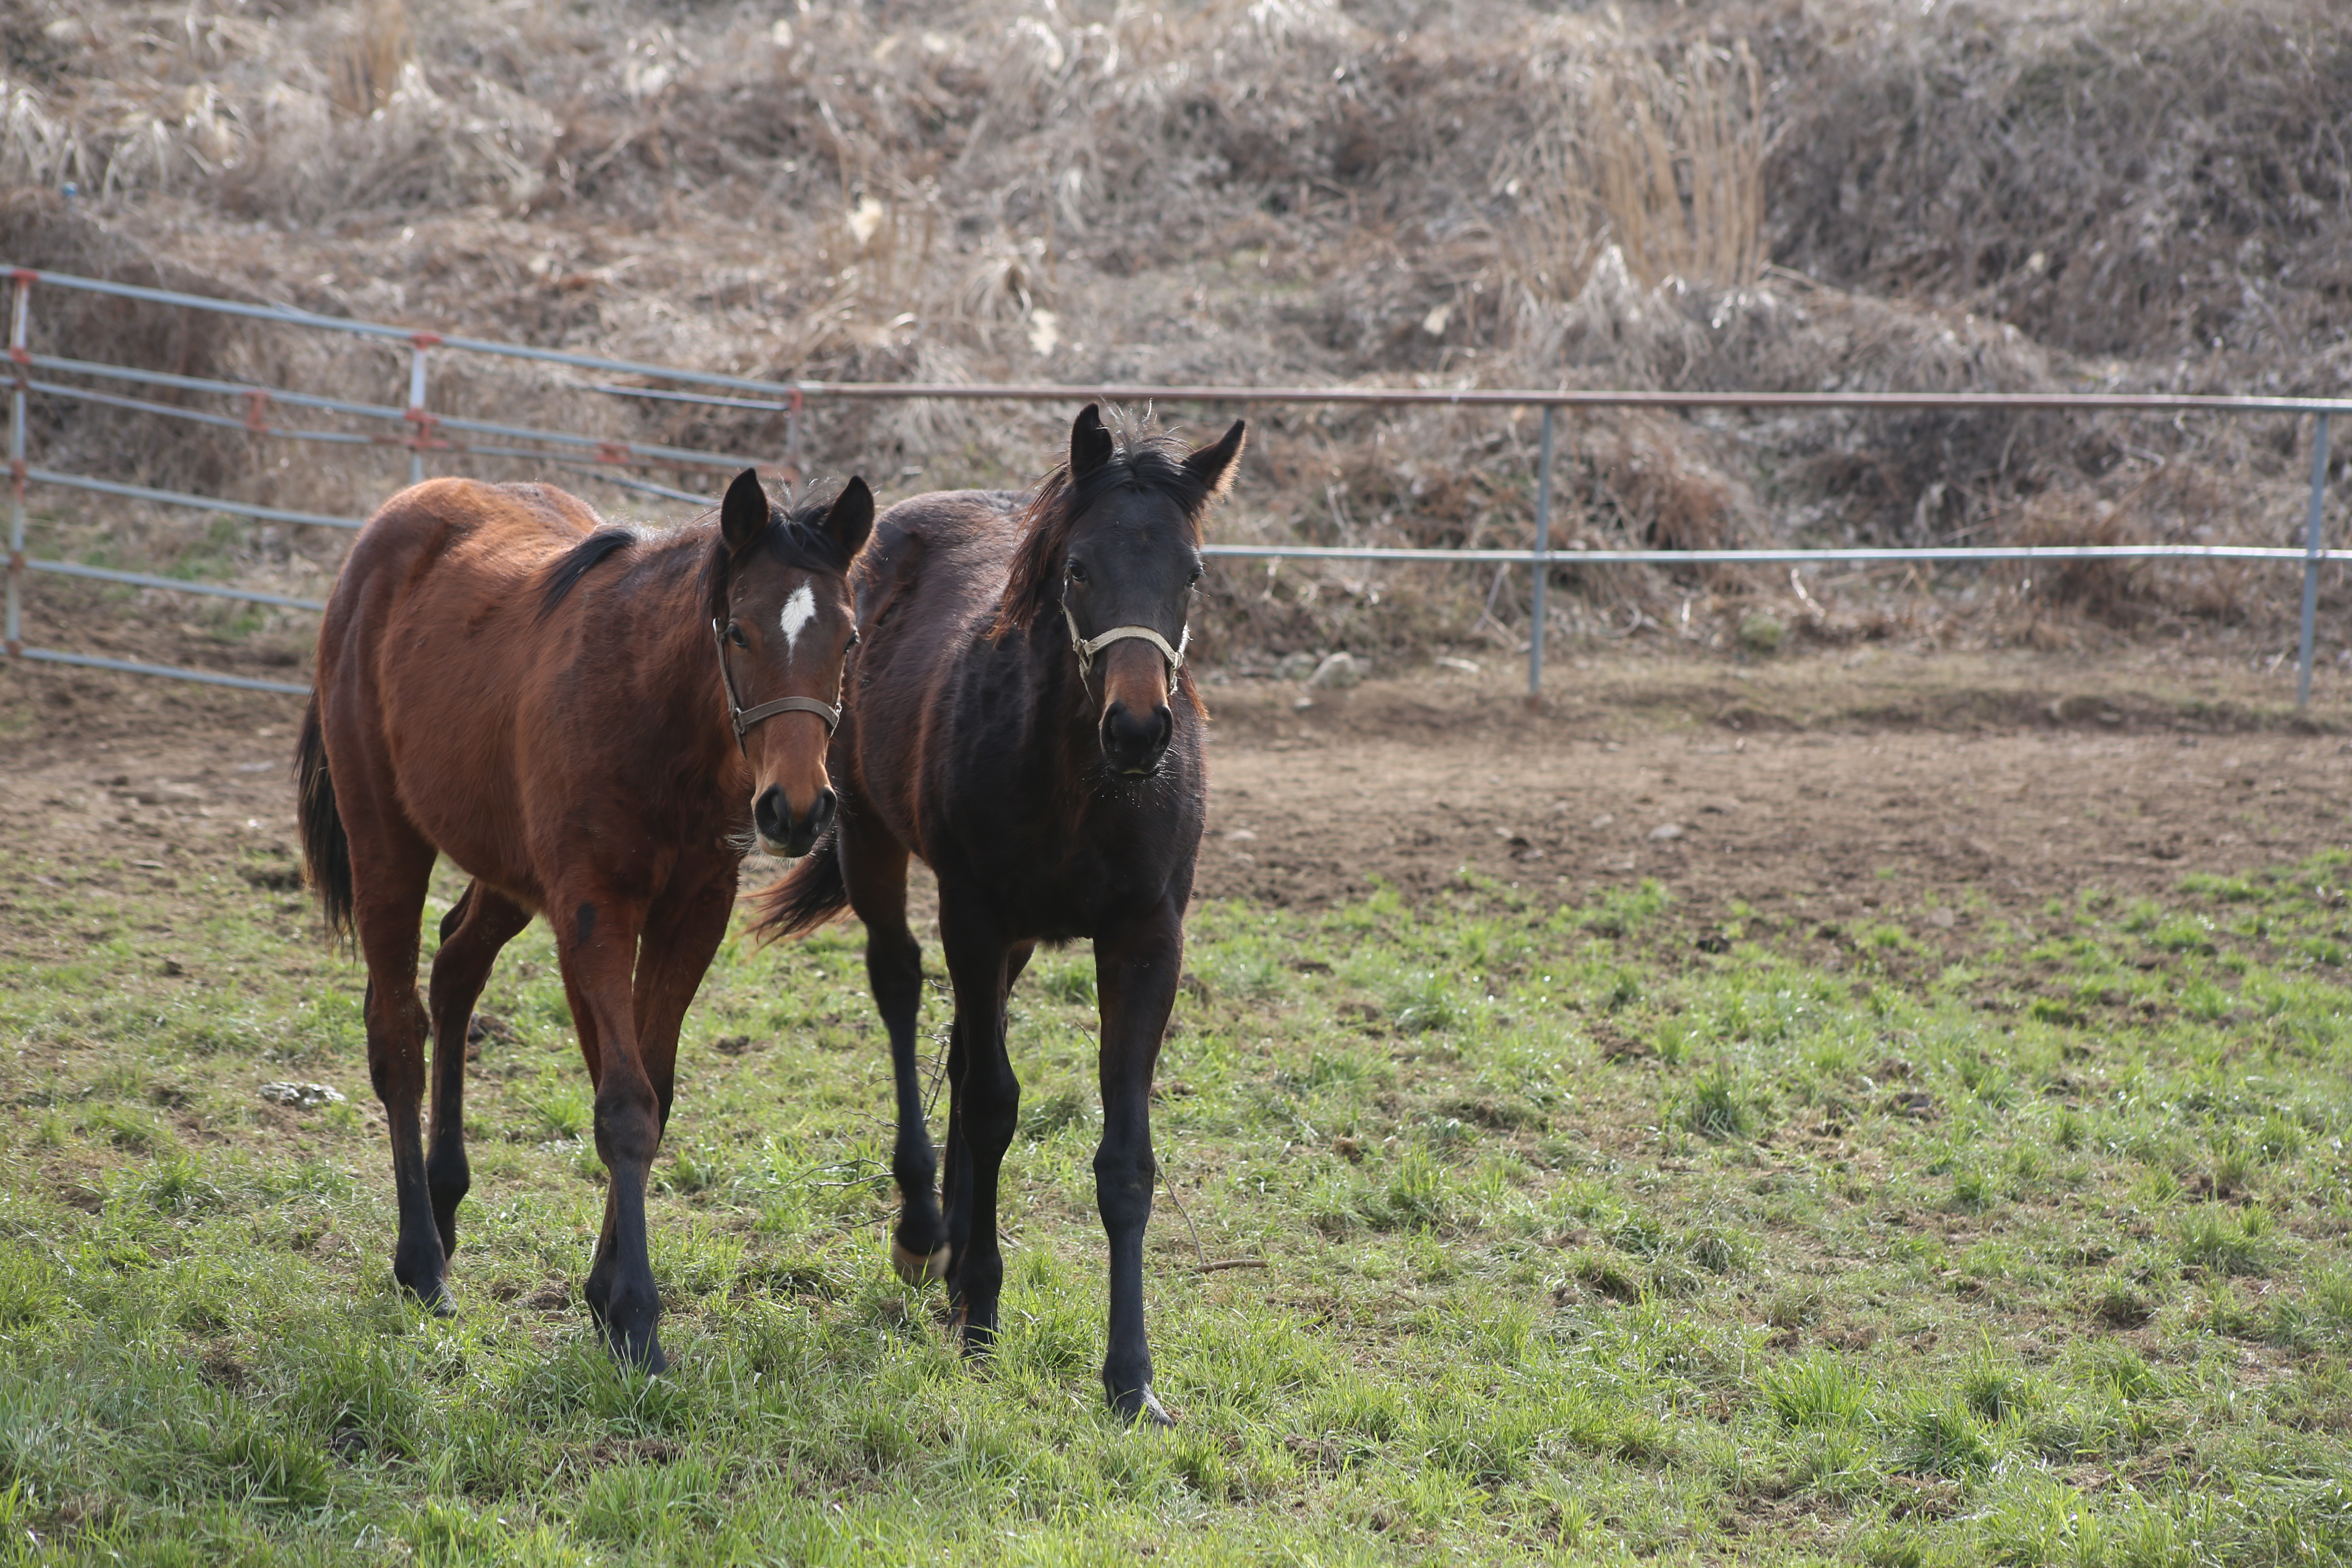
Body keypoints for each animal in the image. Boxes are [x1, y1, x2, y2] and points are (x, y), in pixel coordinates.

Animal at [294, 470, 875, 1373]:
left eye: (846, 642)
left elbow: (652, 1090)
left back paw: (446, 1200)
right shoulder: (593, 911)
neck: (656, 711)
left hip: (506, 868)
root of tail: (395, 519)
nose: (798, 809)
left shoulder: (692, 913)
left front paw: (605, 1292)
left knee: (455, 968)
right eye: (738, 632)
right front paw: (634, 1312)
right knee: (396, 1033)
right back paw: (421, 1261)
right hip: (387, 841)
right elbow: (624, 1102)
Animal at [757, 409, 1242, 1439]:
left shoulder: (1147, 940)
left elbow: (1124, 1159)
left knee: (955, 1040)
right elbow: (990, 1104)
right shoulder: (974, 915)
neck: (1080, 782)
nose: (1139, 730)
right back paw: (922, 1233)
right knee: (902, 992)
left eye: (1190, 572)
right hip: (876, 846)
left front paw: (1131, 1378)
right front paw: (979, 1304)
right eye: (1078, 568)